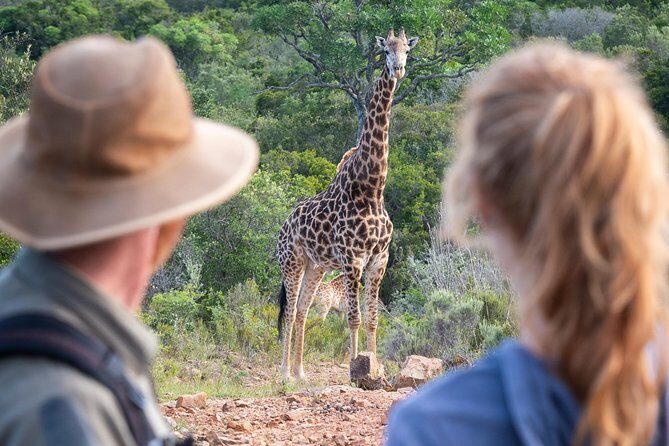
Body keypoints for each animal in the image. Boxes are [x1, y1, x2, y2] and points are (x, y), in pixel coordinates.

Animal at [276, 28, 418, 381]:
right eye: (385, 50)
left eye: (407, 50)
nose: (398, 69)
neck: (372, 189)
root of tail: (283, 226)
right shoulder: (353, 260)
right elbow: (353, 318)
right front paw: (356, 370)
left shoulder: (379, 260)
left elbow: (373, 319)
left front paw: (375, 368)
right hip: (292, 261)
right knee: (289, 311)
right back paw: (283, 373)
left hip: (316, 266)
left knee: (303, 309)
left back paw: (300, 373)